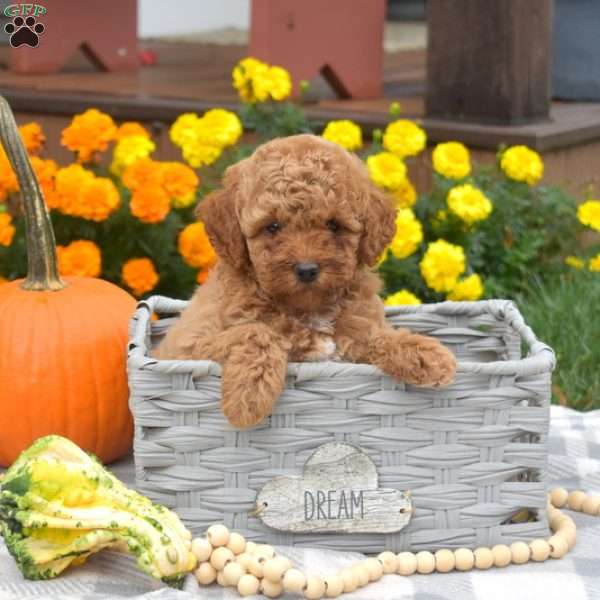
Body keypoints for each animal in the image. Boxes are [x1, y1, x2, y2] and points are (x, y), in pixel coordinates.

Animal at [157, 134, 458, 428]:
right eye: (272, 226)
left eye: (334, 225)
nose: (307, 269)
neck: (307, 308)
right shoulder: (186, 347)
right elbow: (257, 331)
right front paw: (248, 399)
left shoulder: (356, 332)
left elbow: (377, 335)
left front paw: (426, 355)